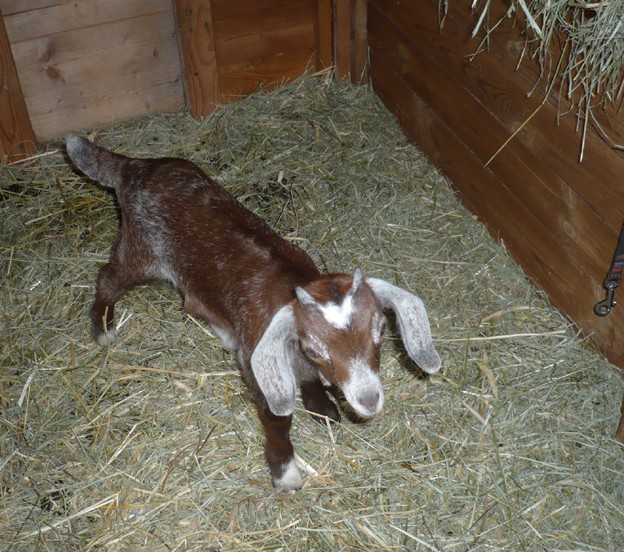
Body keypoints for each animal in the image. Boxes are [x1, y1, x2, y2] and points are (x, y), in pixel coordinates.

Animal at [66, 137, 442, 492]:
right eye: (313, 348)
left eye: (381, 330)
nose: (369, 400)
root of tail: (136, 166)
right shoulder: (257, 362)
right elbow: (277, 420)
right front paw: (285, 472)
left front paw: (322, 408)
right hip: (140, 249)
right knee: (109, 276)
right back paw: (103, 326)